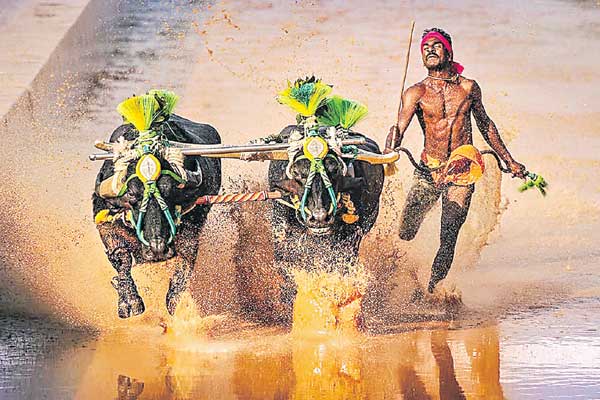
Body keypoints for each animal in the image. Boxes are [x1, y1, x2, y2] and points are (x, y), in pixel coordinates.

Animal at [90, 114, 219, 318]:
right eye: (132, 194)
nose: (158, 249)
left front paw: (175, 305)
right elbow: (121, 258)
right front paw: (130, 302)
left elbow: (185, 265)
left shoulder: (192, 232)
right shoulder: (105, 222)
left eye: (171, 192)